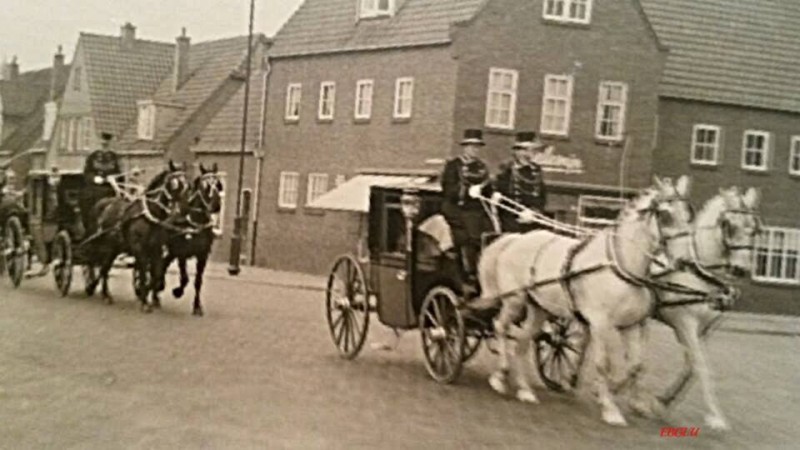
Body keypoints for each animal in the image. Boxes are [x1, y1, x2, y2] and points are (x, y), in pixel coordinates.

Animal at [160, 163, 222, 316]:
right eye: (204, 186)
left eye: (218, 184)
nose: (217, 205)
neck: (196, 222)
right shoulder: (182, 253)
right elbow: (185, 278)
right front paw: (177, 291)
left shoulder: (202, 256)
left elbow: (198, 281)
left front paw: (197, 306)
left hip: (171, 252)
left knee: (163, 263)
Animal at [476, 175, 692, 426]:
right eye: (665, 215)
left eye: (689, 213)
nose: (684, 261)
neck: (621, 265)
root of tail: (515, 239)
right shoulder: (600, 324)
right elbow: (603, 364)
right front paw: (609, 407)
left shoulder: (632, 325)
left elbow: (636, 365)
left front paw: (620, 396)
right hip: (514, 300)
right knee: (500, 327)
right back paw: (500, 376)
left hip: (538, 308)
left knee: (522, 341)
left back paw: (524, 390)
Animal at [624, 185, 764, 428]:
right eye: (728, 224)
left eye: (754, 229)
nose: (741, 269)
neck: (700, 275)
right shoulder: (685, 324)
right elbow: (702, 366)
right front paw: (715, 416)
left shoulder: (705, 330)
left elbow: (691, 367)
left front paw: (662, 401)